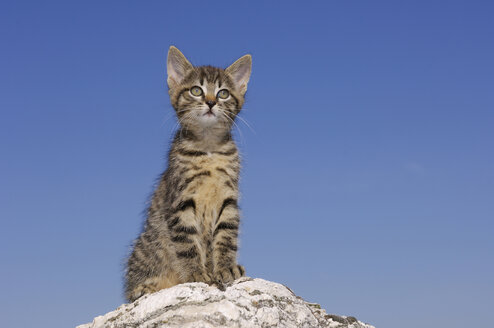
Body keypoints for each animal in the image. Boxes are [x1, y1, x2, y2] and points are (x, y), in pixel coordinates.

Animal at [125, 46, 253, 302]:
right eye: (196, 90)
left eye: (223, 93)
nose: (211, 102)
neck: (209, 148)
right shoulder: (181, 201)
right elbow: (187, 241)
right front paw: (196, 273)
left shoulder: (229, 200)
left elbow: (226, 235)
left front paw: (225, 267)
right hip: (146, 247)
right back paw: (145, 288)